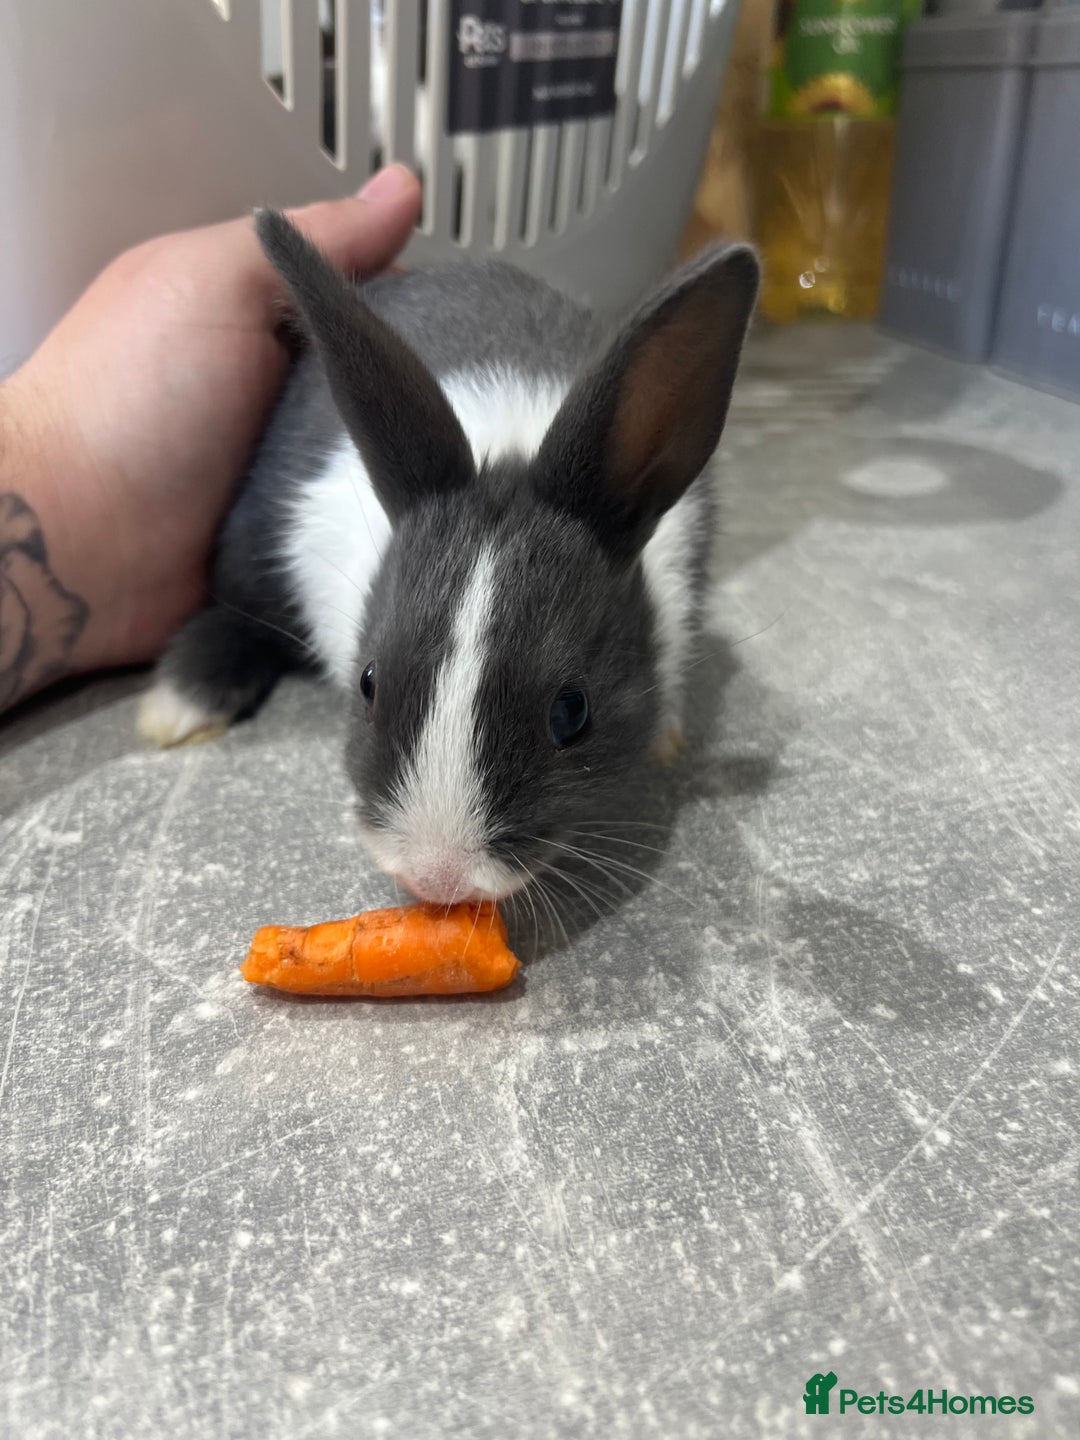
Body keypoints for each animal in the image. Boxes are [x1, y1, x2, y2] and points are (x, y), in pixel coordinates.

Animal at [137, 210, 759, 905]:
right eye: (369, 682)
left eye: (572, 712)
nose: (436, 876)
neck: (509, 444)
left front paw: (664, 743)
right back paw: (177, 707)